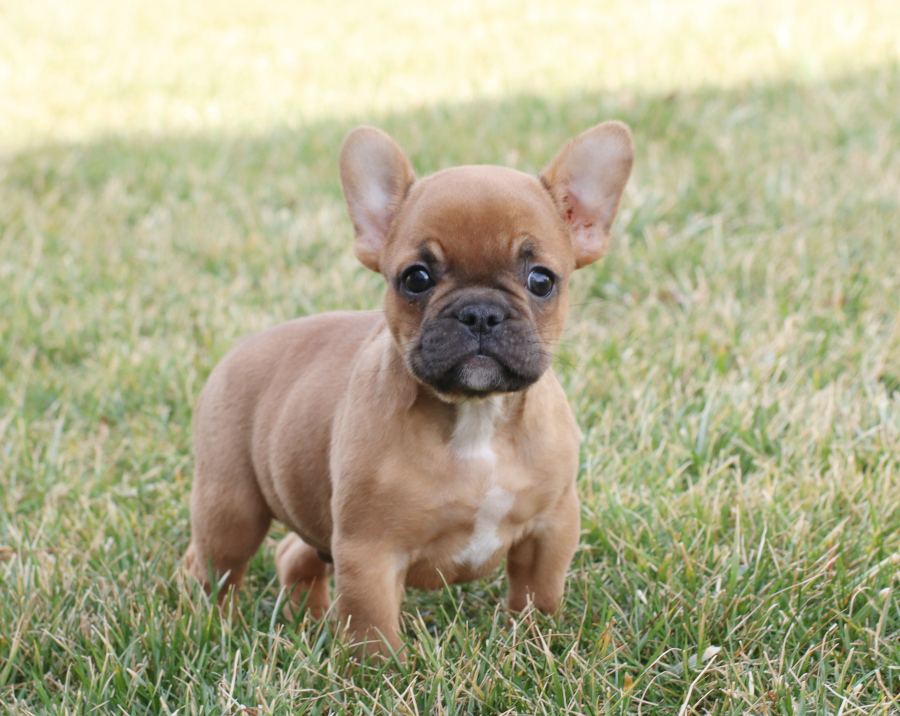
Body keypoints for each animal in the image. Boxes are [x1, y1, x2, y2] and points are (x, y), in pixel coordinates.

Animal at [183, 120, 632, 656]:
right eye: (416, 278)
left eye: (541, 280)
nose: (480, 312)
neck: (477, 417)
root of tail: (243, 346)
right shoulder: (369, 552)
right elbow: (372, 629)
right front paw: (379, 670)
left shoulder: (552, 527)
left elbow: (537, 594)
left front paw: (535, 645)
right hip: (231, 508)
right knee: (211, 566)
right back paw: (209, 626)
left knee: (294, 552)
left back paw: (306, 619)